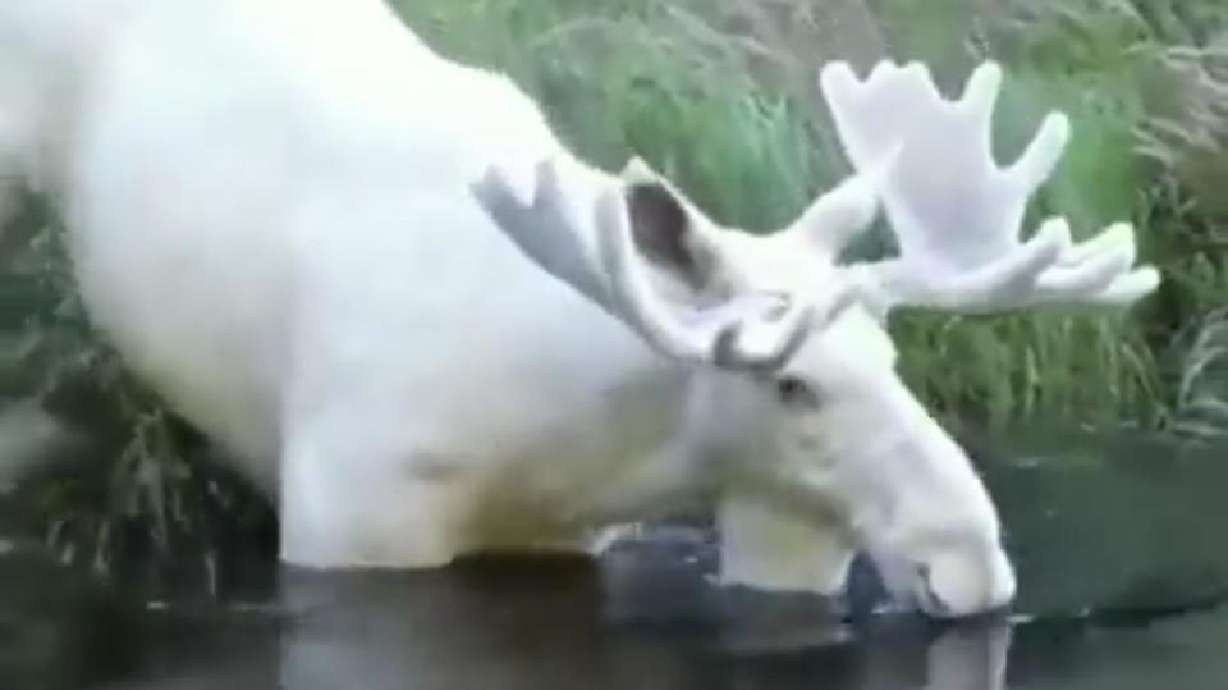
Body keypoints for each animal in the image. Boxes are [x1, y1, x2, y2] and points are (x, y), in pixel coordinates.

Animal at [0, 0, 1157, 618]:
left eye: (892, 357)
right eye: (792, 385)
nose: (972, 567)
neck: (587, 440)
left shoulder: (559, 538)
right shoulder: (346, 519)